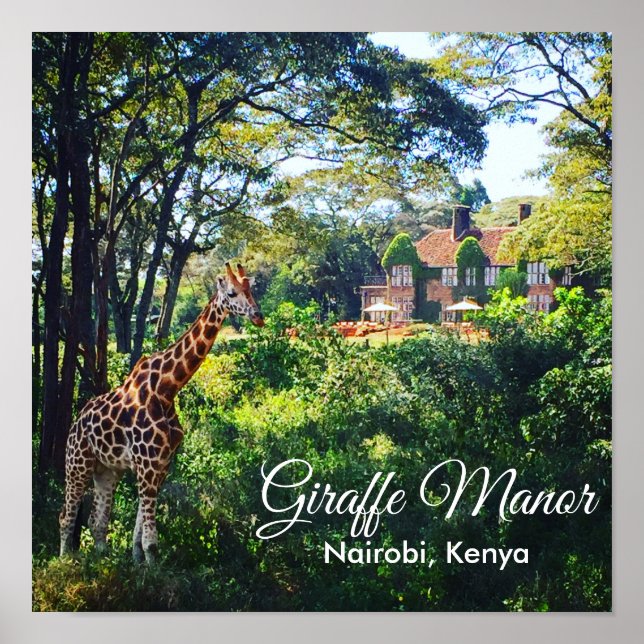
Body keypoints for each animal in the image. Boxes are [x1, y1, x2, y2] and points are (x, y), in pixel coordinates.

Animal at [59, 262, 264, 563]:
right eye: (231, 292)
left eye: (251, 290)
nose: (258, 316)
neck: (168, 388)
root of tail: (74, 425)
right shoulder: (147, 463)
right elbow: (151, 540)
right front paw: (150, 569)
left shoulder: (162, 463)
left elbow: (139, 531)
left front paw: (137, 564)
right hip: (77, 464)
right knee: (66, 515)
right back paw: (65, 560)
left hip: (107, 470)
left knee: (97, 520)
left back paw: (102, 562)